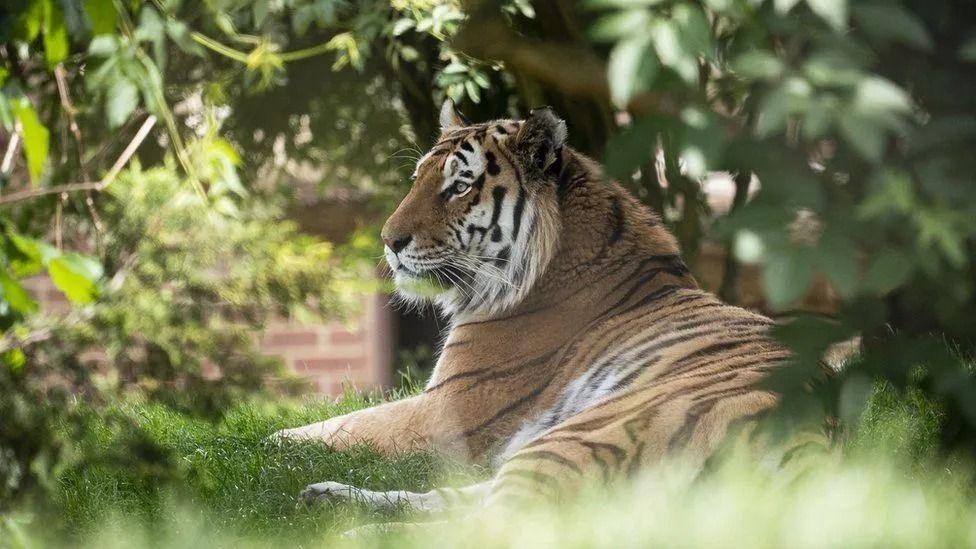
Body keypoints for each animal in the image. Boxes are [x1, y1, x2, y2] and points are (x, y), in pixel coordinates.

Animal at [274, 99, 808, 512]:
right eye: (417, 179)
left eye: (459, 186)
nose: (389, 241)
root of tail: (808, 447)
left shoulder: (444, 411)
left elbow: (340, 425)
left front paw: (266, 440)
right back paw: (327, 498)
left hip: (582, 435)